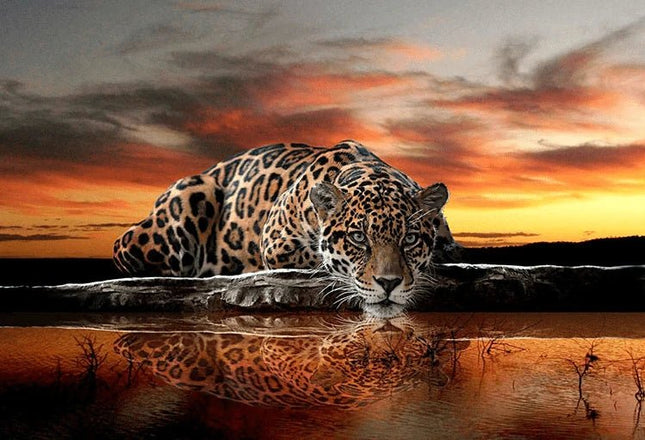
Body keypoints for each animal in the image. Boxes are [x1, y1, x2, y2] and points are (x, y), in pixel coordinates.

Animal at [113, 140, 460, 317]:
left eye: (410, 239)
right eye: (358, 238)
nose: (389, 283)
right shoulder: (276, 243)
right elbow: (319, 260)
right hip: (189, 197)